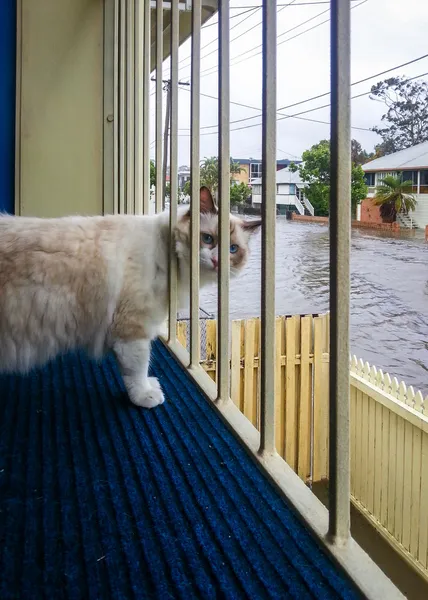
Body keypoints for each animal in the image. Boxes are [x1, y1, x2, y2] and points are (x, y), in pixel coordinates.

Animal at [0, 189, 260, 408]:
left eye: (232, 250)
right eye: (207, 239)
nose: (216, 261)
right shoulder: (132, 330)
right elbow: (138, 369)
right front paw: (146, 396)